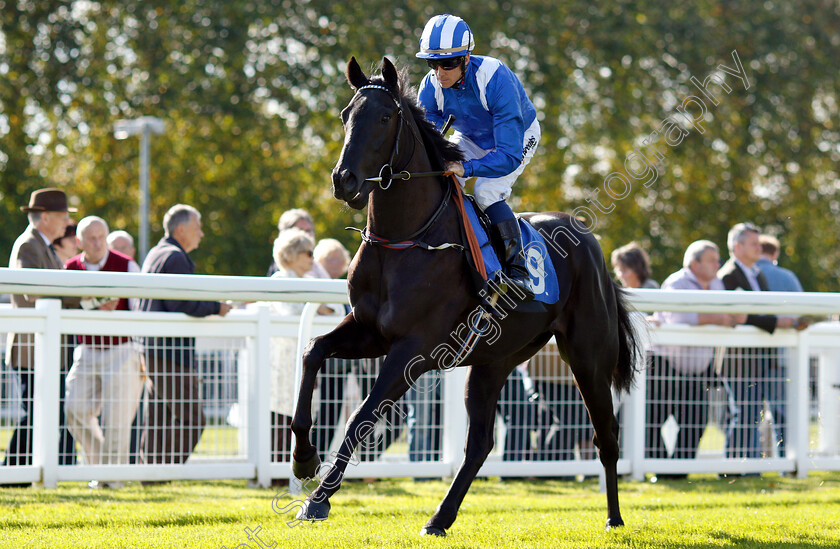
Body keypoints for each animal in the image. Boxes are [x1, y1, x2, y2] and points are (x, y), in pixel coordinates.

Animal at [292, 56, 640, 536]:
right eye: (346, 115)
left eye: (383, 117)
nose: (344, 180)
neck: (404, 240)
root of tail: (590, 242)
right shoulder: (368, 331)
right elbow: (313, 352)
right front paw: (303, 458)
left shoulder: (413, 350)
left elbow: (360, 415)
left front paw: (318, 501)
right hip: (495, 360)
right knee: (480, 444)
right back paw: (439, 518)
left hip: (588, 358)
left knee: (606, 436)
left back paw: (614, 517)